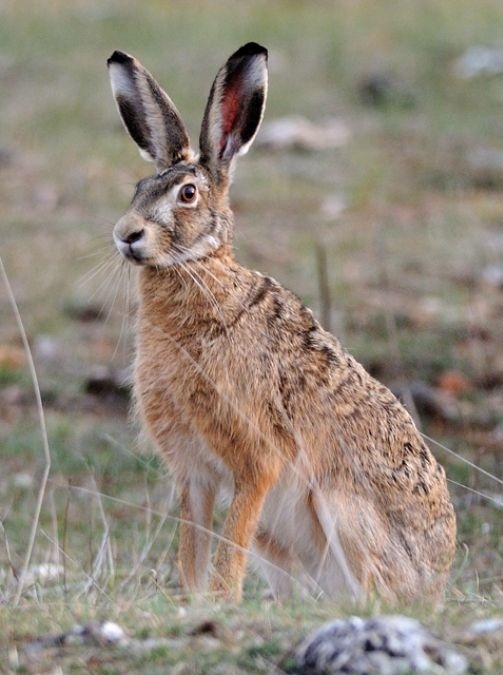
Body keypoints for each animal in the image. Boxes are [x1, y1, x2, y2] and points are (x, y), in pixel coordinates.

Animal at [107, 42, 456, 603]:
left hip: (340, 508)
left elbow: (229, 547)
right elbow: (192, 551)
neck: (202, 274)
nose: (126, 234)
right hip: (279, 540)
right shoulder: (194, 474)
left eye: (187, 194)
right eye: (139, 187)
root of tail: (434, 584)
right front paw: (192, 602)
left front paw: (221, 602)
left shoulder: (257, 459)